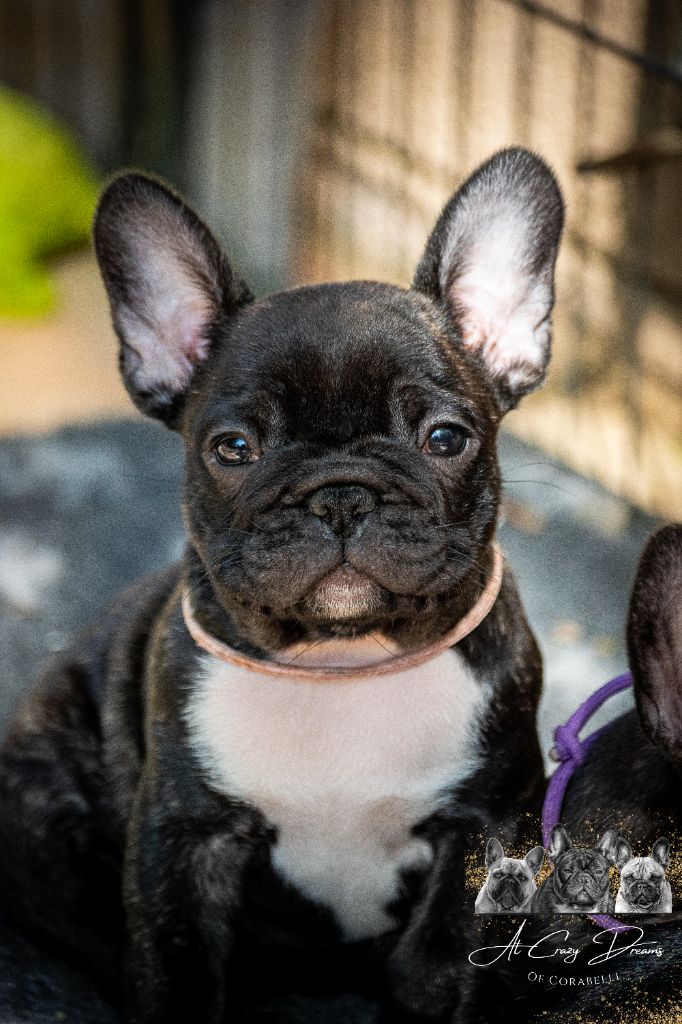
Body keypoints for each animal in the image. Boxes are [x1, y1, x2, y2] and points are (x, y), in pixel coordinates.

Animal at [0, 148, 563, 1024]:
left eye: (445, 438)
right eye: (233, 448)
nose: (340, 494)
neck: (342, 665)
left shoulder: (484, 829)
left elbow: (443, 973)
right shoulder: (182, 840)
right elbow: (174, 966)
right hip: (41, 818)